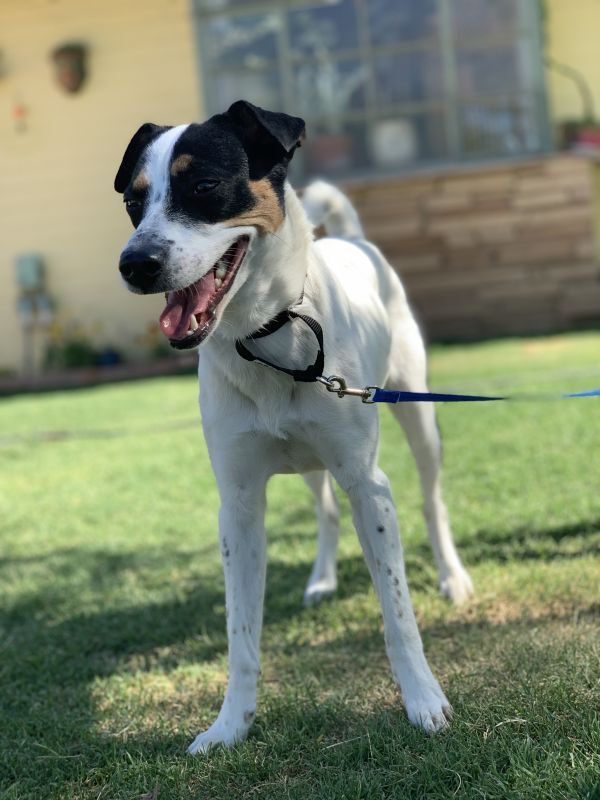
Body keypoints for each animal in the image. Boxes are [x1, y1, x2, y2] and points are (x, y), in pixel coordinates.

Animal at [113, 98, 474, 752]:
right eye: (133, 200)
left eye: (204, 186)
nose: (135, 264)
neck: (266, 338)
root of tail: (352, 240)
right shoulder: (238, 504)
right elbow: (241, 635)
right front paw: (231, 724)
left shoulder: (368, 484)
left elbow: (397, 612)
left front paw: (422, 698)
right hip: (305, 461)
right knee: (325, 511)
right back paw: (323, 581)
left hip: (417, 409)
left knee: (432, 499)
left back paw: (453, 578)